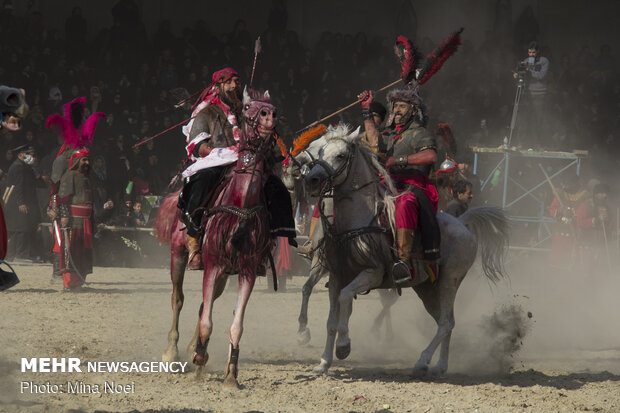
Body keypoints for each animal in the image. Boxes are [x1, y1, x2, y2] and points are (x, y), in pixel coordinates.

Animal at [157, 87, 276, 386]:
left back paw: (195, 348)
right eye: (248, 108)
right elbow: (206, 320)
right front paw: (198, 358)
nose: (269, 117)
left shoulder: (245, 270)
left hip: (224, 275)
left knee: (202, 305)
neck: (240, 209)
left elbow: (235, 325)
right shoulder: (212, 265)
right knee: (178, 299)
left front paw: (230, 374)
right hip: (179, 255)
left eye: (272, 107)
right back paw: (173, 351)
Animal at [300, 124, 508, 376]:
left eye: (340, 155)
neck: (354, 221)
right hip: (427, 288)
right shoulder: (337, 276)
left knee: (446, 323)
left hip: (450, 280)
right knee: (445, 321)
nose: (311, 179)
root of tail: (463, 224)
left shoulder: (373, 273)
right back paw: (440, 366)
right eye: (320, 152)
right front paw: (323, 362)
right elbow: (331, 319)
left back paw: (423, 360)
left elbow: (346, 297)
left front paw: (343, 345)